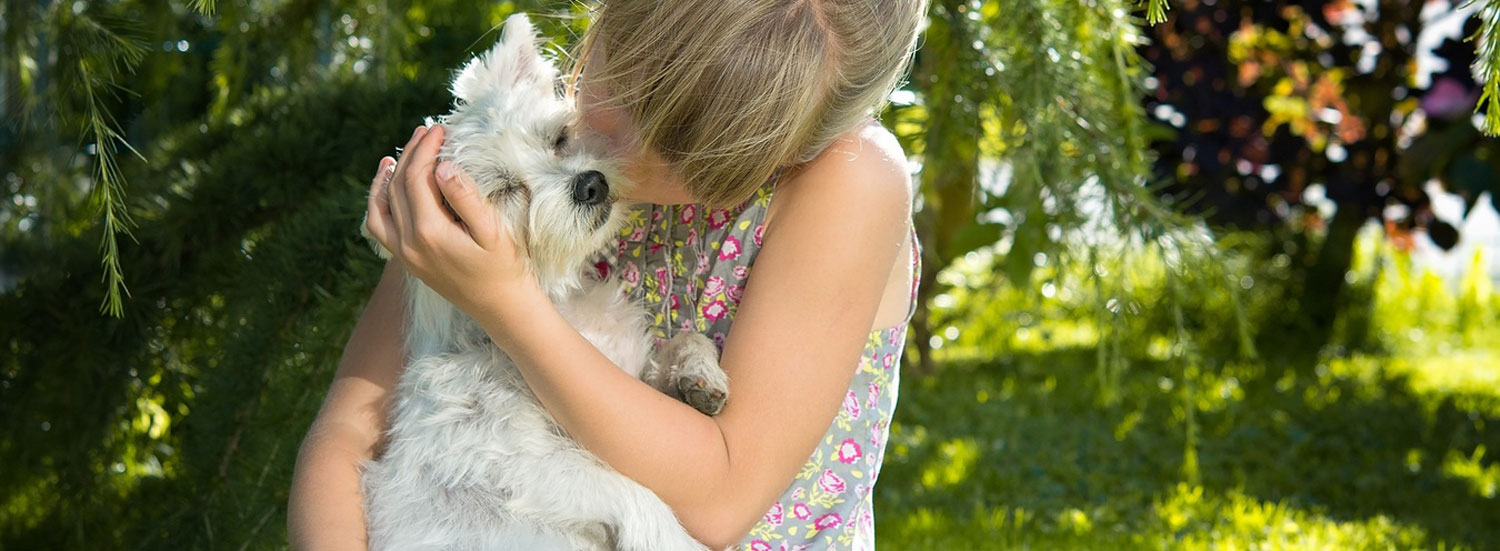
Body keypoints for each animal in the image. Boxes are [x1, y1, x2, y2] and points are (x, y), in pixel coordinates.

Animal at [363, 14, 738, 551]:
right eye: (505, 190)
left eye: (559, 138)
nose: (591, 183)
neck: (559, 306)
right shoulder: (517, 461)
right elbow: (638, 496)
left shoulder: (627, 382)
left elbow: (683, 340)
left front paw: (699, 375)